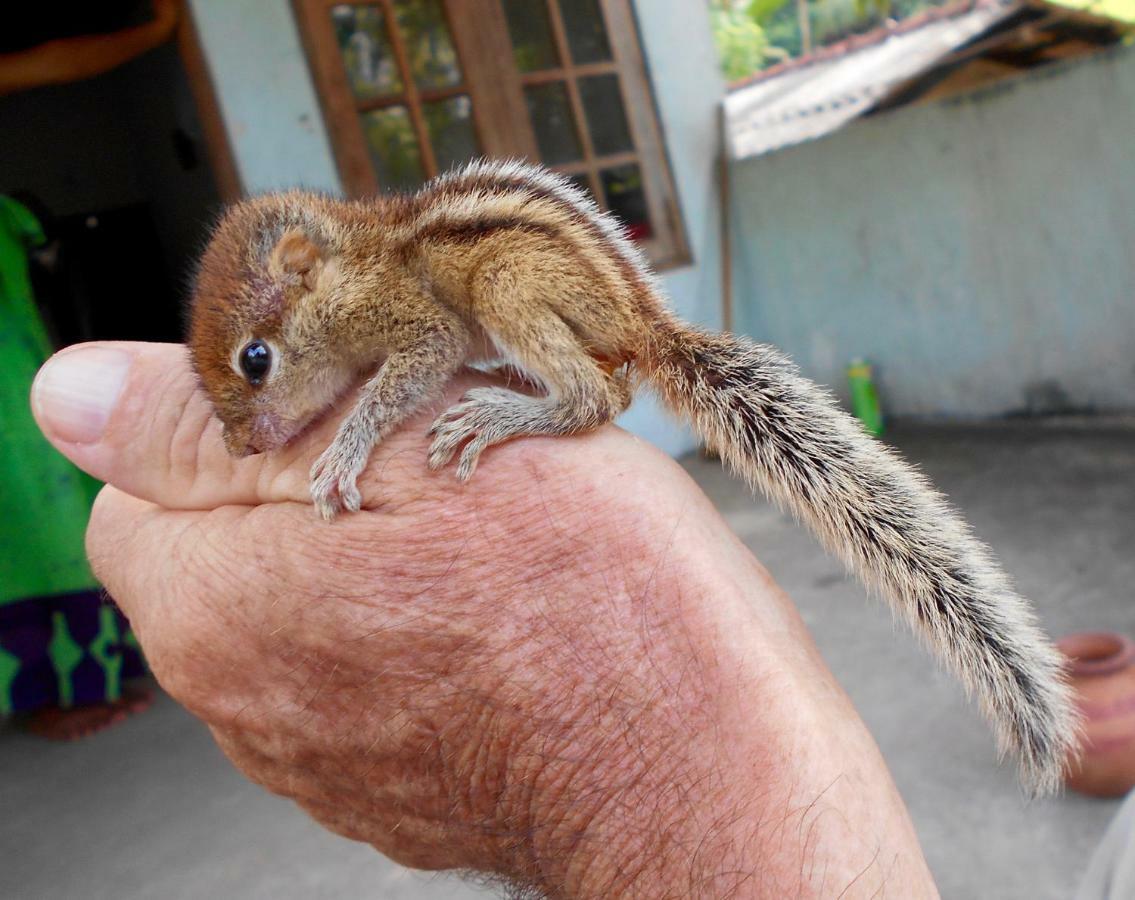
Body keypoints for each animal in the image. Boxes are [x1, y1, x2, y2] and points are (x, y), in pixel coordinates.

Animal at [190, 160, 1075, 794]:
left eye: (255, 359)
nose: (239, 447)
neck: (352, 270)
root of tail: (647, 323)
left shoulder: (415, 326)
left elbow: (402, 376)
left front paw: (344, 449)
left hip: (509, 281)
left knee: (596, 395)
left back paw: (505, 413)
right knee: (609, 389)